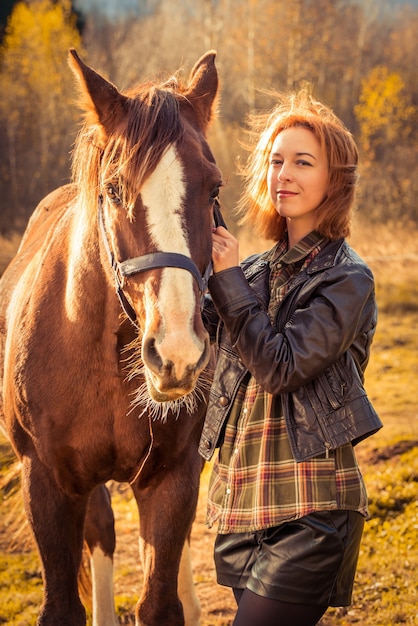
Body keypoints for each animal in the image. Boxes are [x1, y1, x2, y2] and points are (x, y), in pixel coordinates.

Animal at [0, 50, 222, 624]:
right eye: (115, 190)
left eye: (213, 188)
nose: (178, 354)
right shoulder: (47, 483)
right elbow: (63, 603)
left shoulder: (171, 477)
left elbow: (160, 598)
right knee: (101, 533)